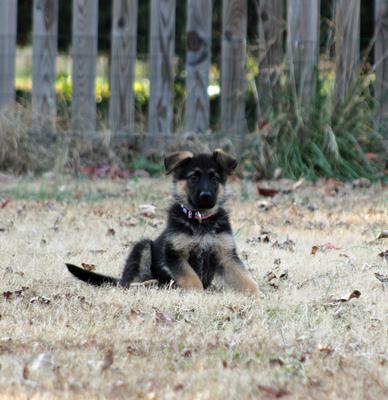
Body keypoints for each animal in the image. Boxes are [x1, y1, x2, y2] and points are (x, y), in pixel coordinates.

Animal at [65, 149, 260, 294]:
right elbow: (193, 280)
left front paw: (258, 295)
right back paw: (146, 285)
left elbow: (246, 279)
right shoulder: (175, 255)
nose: (205, 196)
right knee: (130, 282)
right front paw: (197, 294)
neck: (200, 220)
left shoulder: (226, 255)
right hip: (143, 247)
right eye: (193, 177)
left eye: (214, 178)